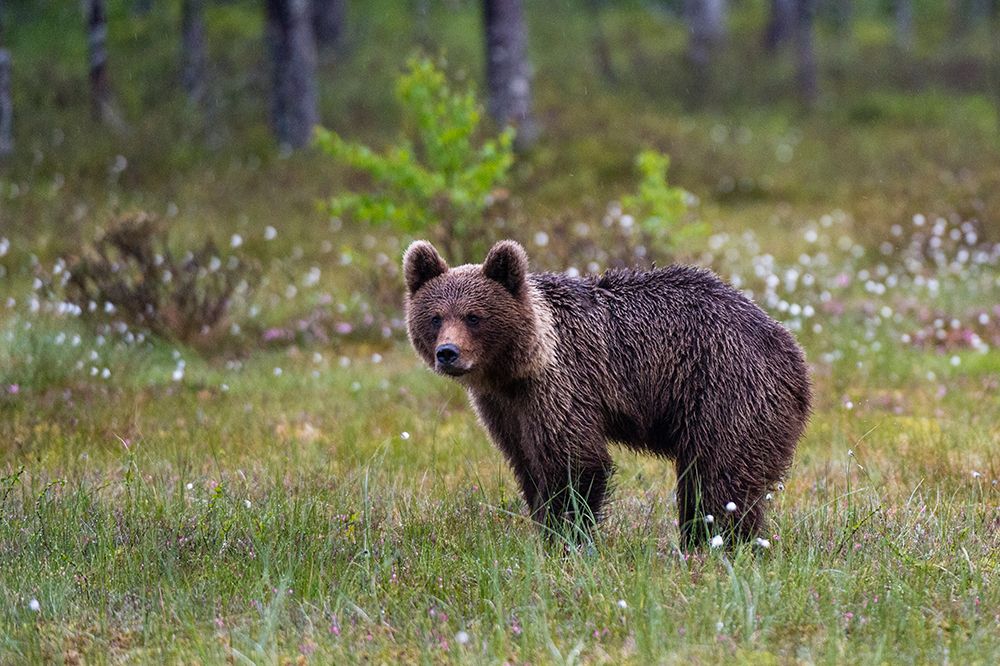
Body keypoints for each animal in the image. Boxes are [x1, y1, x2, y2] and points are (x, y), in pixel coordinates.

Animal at [403, 239, 811, 546]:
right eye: (435, 316)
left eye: (474, 316)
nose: (448, 353)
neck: (519, 365)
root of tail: (790, 348)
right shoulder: (504, 407)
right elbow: (526, 462)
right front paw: (544, 526)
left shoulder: (562, 384)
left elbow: (574, 463)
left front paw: (566, 537)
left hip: (725, 388)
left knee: (718, 476)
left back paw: (717, 543)